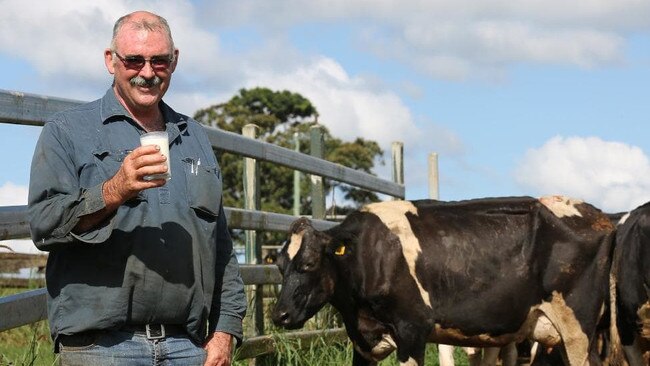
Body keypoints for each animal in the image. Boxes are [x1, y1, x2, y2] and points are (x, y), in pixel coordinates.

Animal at [270, 196, 616, 364]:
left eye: (309, 263)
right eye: (280, 266)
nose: (279, 315)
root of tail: (598, 216)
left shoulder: (412, 331)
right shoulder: (363, 344)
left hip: (578, 330)